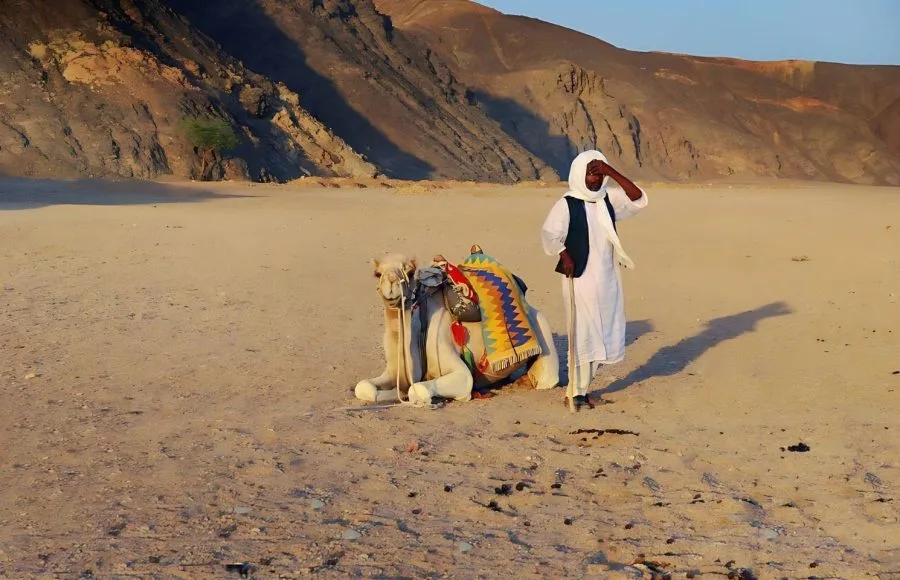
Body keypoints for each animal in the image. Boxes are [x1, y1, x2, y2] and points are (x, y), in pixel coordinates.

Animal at [354, 251, 559, 407]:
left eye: (410, 272)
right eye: (377, 273)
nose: (391, 285)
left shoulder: (454, 363)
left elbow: (418, 388)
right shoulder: (393, 372)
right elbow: (363, 387)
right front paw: (392, 395)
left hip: (542, 328)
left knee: (546, 378)